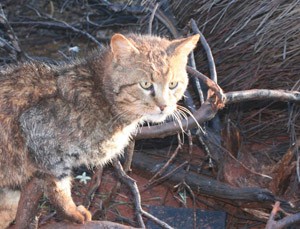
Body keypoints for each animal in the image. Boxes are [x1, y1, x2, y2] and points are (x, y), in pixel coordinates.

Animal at [0, 32, 200, 227]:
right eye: (145, 85)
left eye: (173, 84)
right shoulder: (39, 132)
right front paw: (71, 212)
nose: (164, 106)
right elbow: (58, 184)